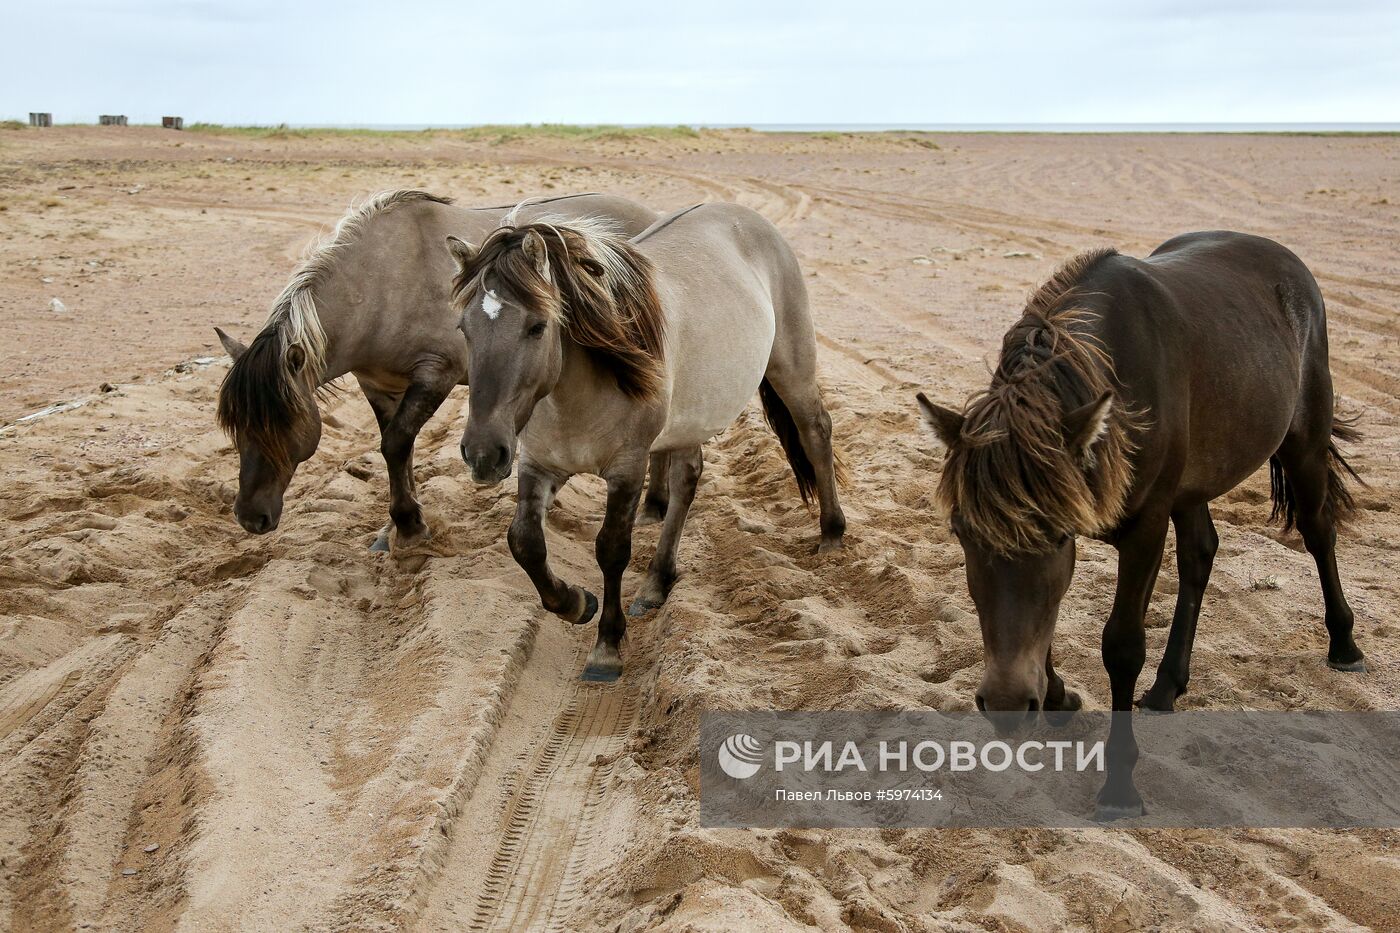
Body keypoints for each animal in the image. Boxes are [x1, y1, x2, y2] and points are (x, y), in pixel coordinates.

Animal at [918, 231, 1366, 812]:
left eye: (1056, 536)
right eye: (962, 533)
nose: (1007, 703)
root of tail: (1283, 257)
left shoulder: (1145, 528)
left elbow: (1122, 646)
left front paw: (1119, 783)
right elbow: (1043, 622)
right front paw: (1058, 695)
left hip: (1303, 445)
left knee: (1317, 532)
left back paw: (1344, 645)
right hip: (1195, 483)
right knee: (1200, 554)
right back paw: (1167, 686)